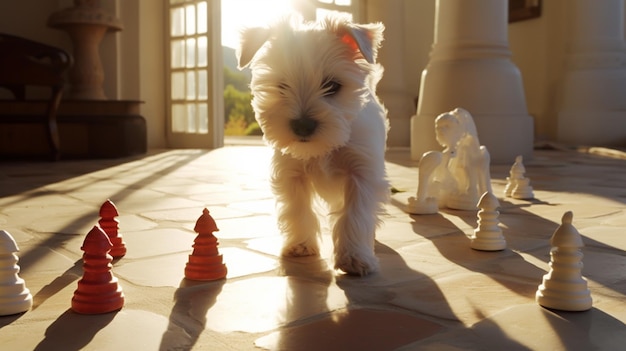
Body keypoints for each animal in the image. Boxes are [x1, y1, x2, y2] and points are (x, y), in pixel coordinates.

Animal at [238, 13, 388, 276]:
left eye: (332, 85)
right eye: (282, 86)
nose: (302, 125)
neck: (323, 148)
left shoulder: (361, 174)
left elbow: (355, 215)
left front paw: (354, 257)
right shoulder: (291, 174)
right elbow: (298, 211)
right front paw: (299, 246)